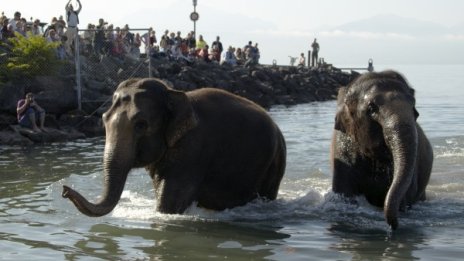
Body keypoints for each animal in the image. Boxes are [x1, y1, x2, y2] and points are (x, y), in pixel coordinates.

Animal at [61, 77, 286, 215]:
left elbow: (169, 204)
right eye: (103, 119)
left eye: (141, 125)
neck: (173, 93)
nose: (65, 190)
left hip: (274, 163)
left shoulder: (193, 151)